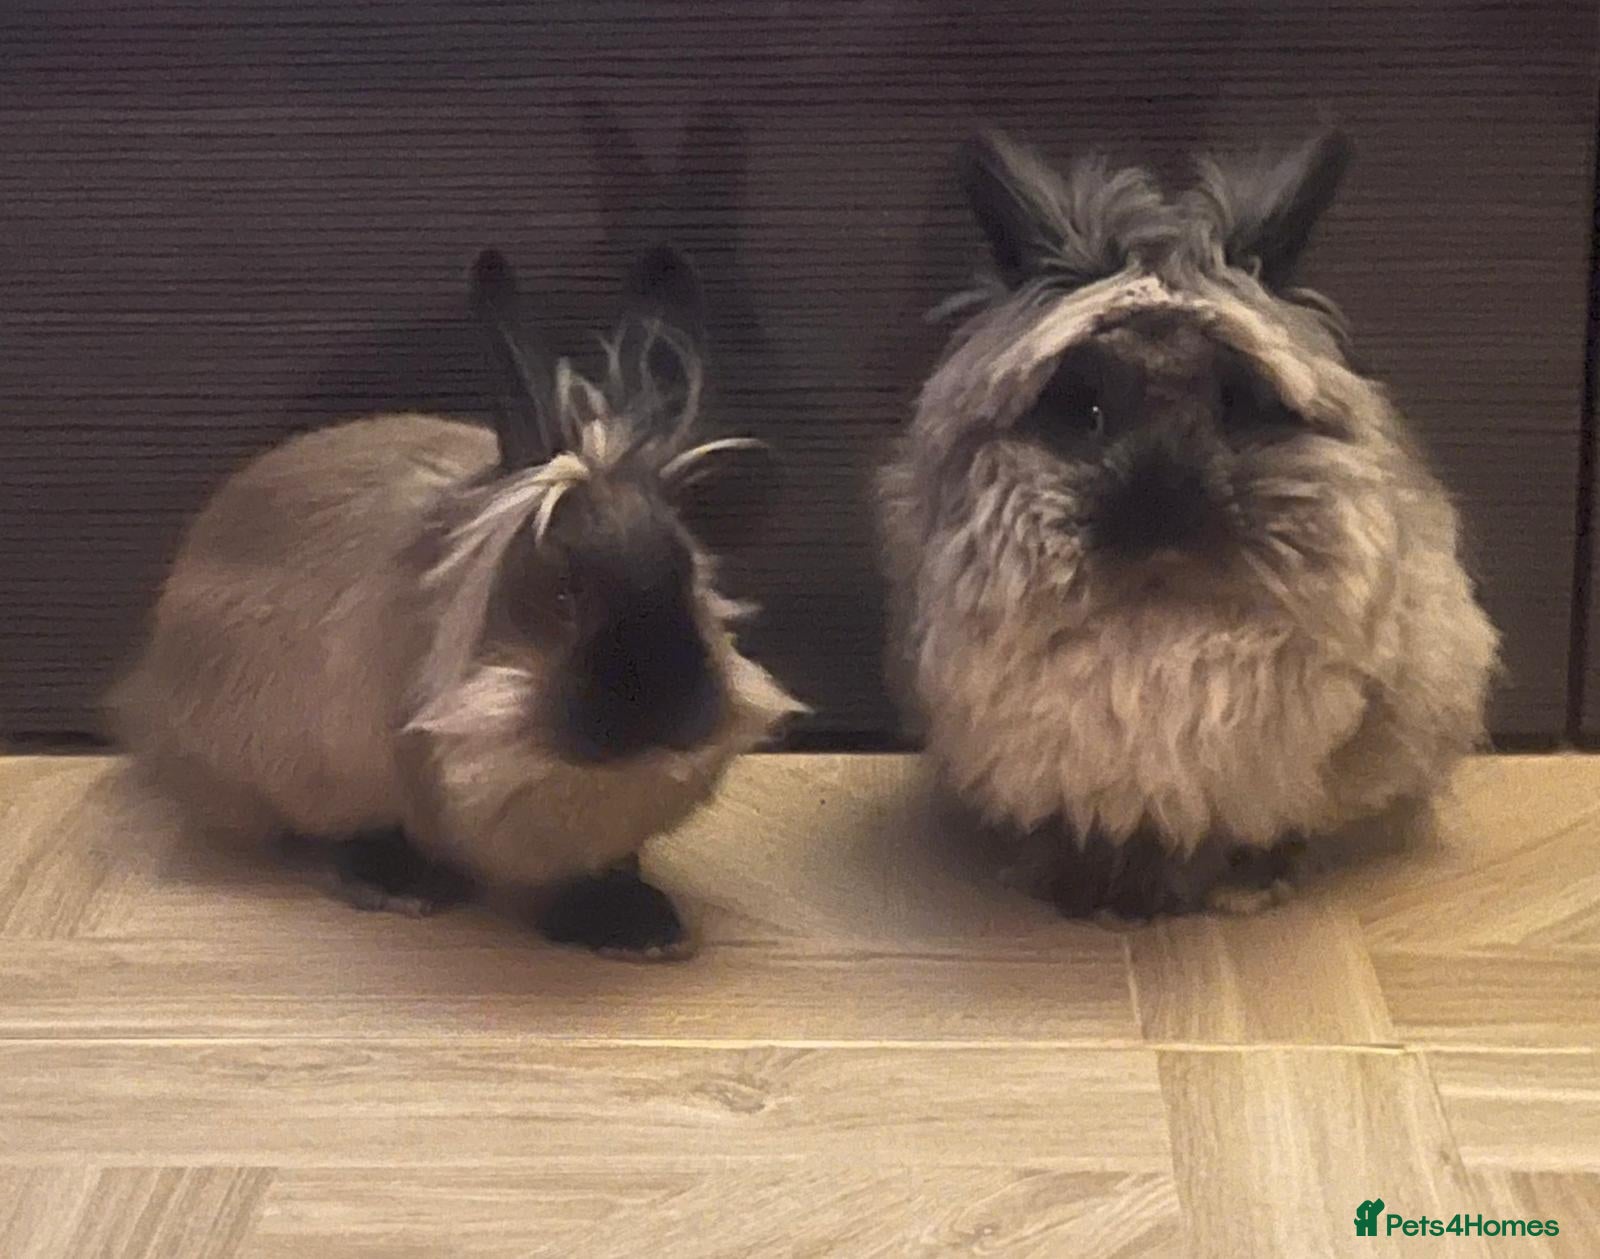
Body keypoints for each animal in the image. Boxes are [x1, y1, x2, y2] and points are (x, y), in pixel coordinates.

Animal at [878, 129, 1499, 919]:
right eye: (1087, 412)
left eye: (1234, 406)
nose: (1163, 511)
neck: (1160, 614)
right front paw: (1080, 894)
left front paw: (1224, 889)